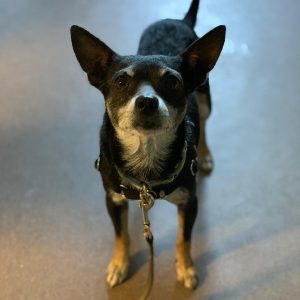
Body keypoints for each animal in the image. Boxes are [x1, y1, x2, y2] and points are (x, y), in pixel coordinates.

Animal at [70, 0, 225, 290]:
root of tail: (180, 19)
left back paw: (205, 154)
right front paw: (119, 264)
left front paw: (186, 267)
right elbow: (121, 235)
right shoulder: (113, 200)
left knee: (204, 121)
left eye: (173, 82)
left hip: (205, 98)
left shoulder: (189, 202)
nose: (146, 101)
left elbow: (184, 239)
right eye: (121, 82)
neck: (147, 155)